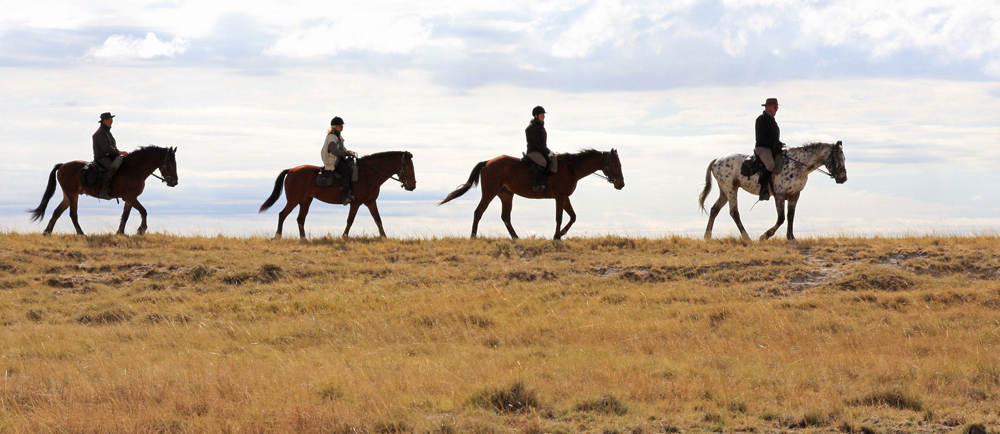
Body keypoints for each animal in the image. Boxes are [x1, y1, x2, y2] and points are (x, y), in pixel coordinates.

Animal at [27, 145, 180, 234]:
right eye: (171, 163)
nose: (174, 181)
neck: (134, 169)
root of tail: (63, 165)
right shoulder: (130, 197)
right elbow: (143, 211)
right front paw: (141, 230)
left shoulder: (130, 199)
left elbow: (125, 215)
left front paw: (120, 232)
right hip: (72, 194)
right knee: (72, 214)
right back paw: (81, 233)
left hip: (68, 195)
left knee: (57, 212)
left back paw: (47, 232)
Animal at [260, 148, 416, 237]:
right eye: (409, 167)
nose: (412, 186)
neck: (368, 174)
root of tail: (291, 170)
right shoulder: (356, 203)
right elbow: (350, 220)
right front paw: (344, 236)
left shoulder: (370, 202)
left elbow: (378, 219)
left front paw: (384, 237)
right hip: (294, 200)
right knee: (282, 214)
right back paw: (278, 236)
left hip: (306, 200)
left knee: (300, 219)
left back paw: (304, 239)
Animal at [440, 147, 620, 239]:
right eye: (617, 165)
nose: (621, 184)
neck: (571, 168)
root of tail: (488, 162)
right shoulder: (560, 197)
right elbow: (560, 217)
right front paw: (557, 235)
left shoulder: (565, 197)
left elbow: (573, 217)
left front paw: (560, 233)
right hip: (490, 193)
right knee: (479, 212)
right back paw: (473, 236)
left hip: (506, 195)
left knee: (505, 217)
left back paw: (515, 237)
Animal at [700, 141, 848, 241]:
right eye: (838, 158)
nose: (843, 178)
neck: (797, 165)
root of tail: (717, 160)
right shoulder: (780, 195)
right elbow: (781, 218)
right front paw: (765, 236)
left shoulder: (795, 195)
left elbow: (790, 216)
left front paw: (791, 237)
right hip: (730, 189)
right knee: (734, 212)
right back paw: (746, 237)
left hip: (725, 191)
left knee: (714, 209)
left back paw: (707, 236)